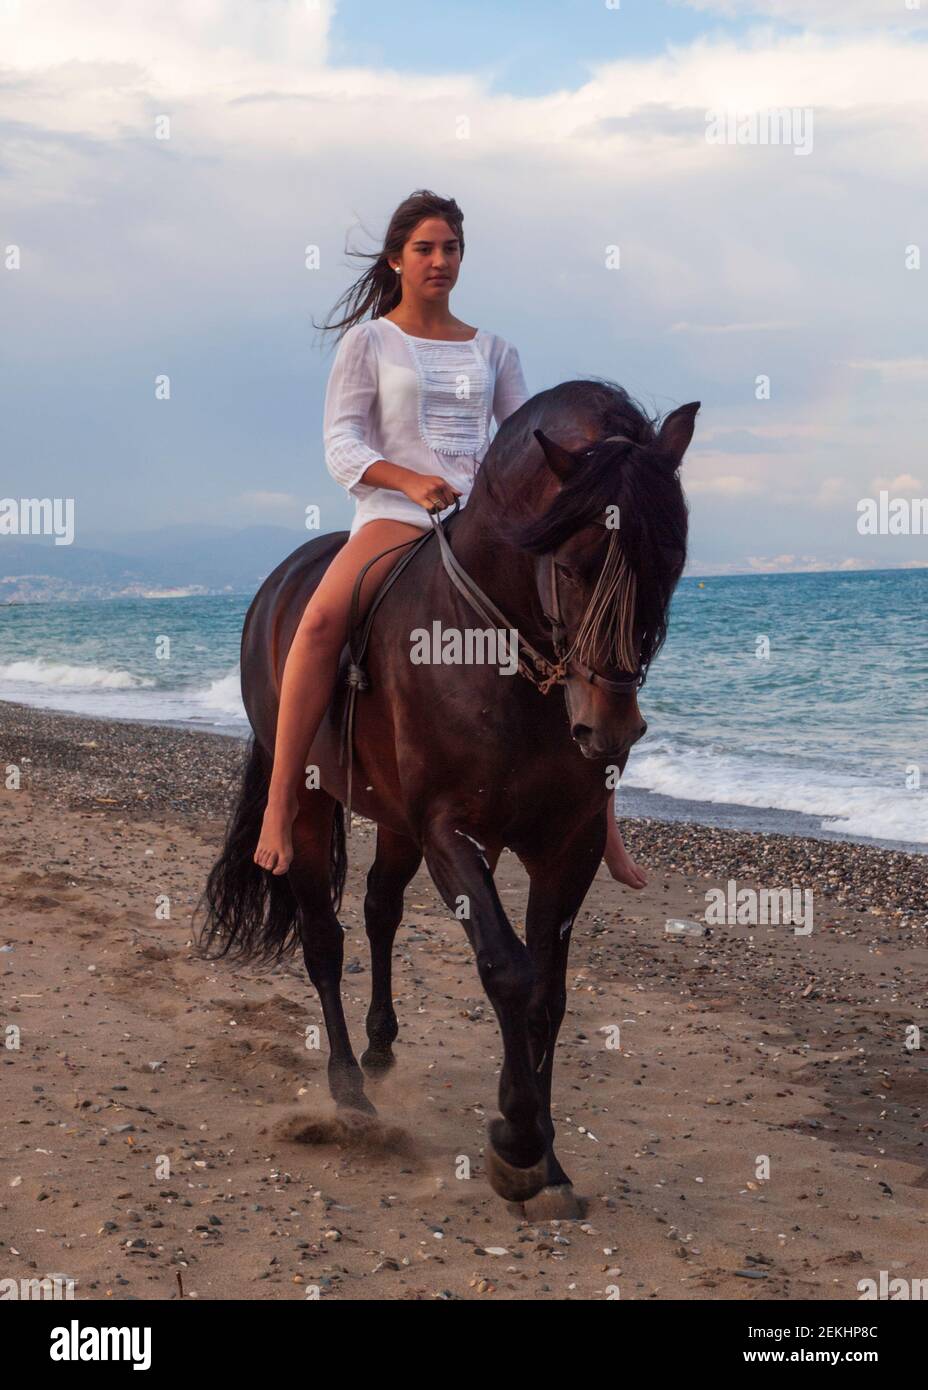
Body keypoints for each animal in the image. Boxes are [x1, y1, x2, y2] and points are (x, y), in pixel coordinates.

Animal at [197, 378, 697, 1217]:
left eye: (671, 563)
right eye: (574, 564)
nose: (611, 728)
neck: (501, 651)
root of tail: (281, 582)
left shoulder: (567, 843)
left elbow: (548, 993)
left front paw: (547, 1160)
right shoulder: (449, 832)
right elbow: (508, 971)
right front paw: (518, 1143)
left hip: (396, 822)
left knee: (377, 906)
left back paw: (380, 1044)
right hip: (312, 804)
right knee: (324, 938)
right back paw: (350, 1093)